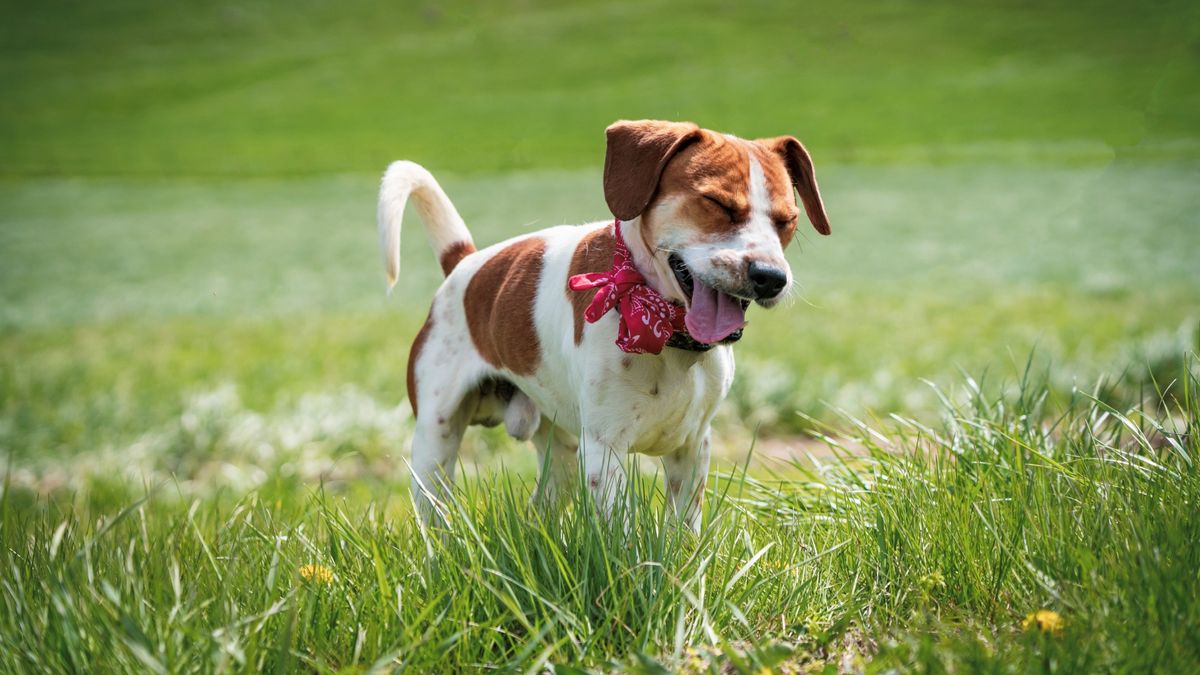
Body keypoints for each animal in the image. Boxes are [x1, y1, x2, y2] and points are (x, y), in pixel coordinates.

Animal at [379, 121, 830, 530]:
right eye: (718, 204)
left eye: (787, 220)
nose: (771, 277)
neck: (664, 330)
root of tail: (465, 263)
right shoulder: (604, 450)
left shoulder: (693, 446)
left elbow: (684, 535)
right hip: (435, 442)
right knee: (435, 515)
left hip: (560, 455)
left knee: (538, 510)